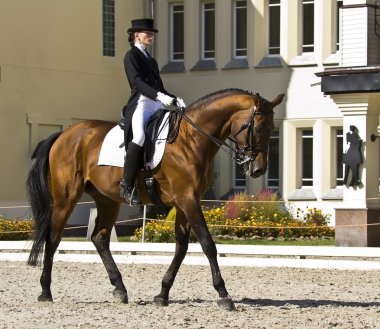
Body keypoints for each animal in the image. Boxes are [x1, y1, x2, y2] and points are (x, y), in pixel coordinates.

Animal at [26, 88, 284, 308]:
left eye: (273, 129)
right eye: (258, 129)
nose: (258, 170)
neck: (191, 139)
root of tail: (64, 134)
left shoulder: (185, 201)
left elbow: (181, 247)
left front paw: (162, 293)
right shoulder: (188, 199)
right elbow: (208, 244)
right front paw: (223, 295)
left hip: (107, 200)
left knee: (99, 238)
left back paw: (120, 289)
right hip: (65, 198)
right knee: (53, 238)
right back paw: (45, 292)